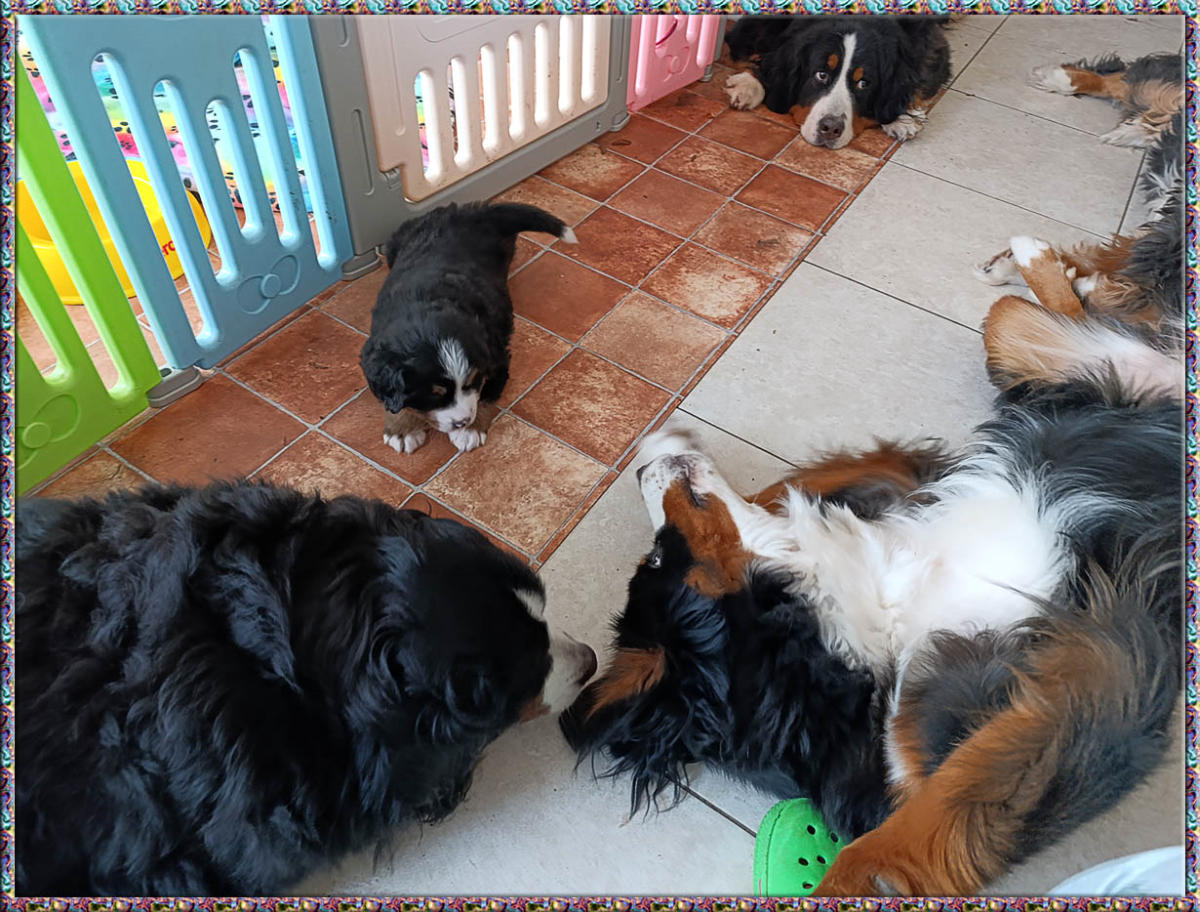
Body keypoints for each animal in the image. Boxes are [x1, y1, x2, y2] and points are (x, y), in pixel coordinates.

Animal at [360, 202, 576, 455]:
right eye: (435, 394)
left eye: (472, 381)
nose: (462, 421)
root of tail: (471, 211)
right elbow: (392, 398)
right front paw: (402, 430)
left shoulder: (498, 357)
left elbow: (485, 395)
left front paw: (469, 431)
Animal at [562, 213, 1182, 893]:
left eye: (652, 560)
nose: (637, 468)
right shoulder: (1088, 666)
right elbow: (896, 841)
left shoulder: (1097, 651)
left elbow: (792, 486)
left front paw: (673, 444)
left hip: (1055, 353)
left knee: (1055, 313)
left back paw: (1045, 260)